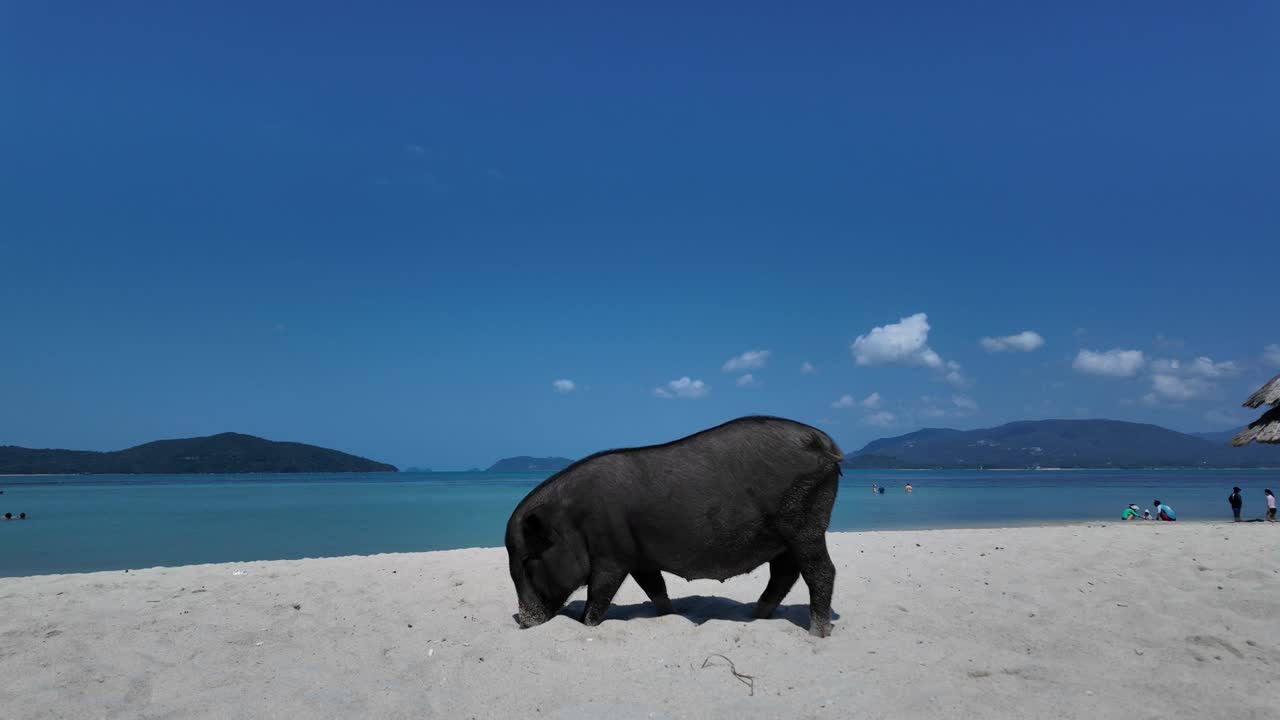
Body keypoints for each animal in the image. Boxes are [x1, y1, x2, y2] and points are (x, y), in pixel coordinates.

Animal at [505, 415, 843, 637]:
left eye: (528, 560)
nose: (523, 622)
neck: (573, 521)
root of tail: (826, 443)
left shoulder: (612, 557)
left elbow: (598, 595)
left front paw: (584, 623)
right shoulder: (639, 559)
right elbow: (656, 588)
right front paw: (671, 615)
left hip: (805, 524)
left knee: (821, 571)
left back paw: (816, 633)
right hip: (785, 538)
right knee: (785, 573)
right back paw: (755, 616)